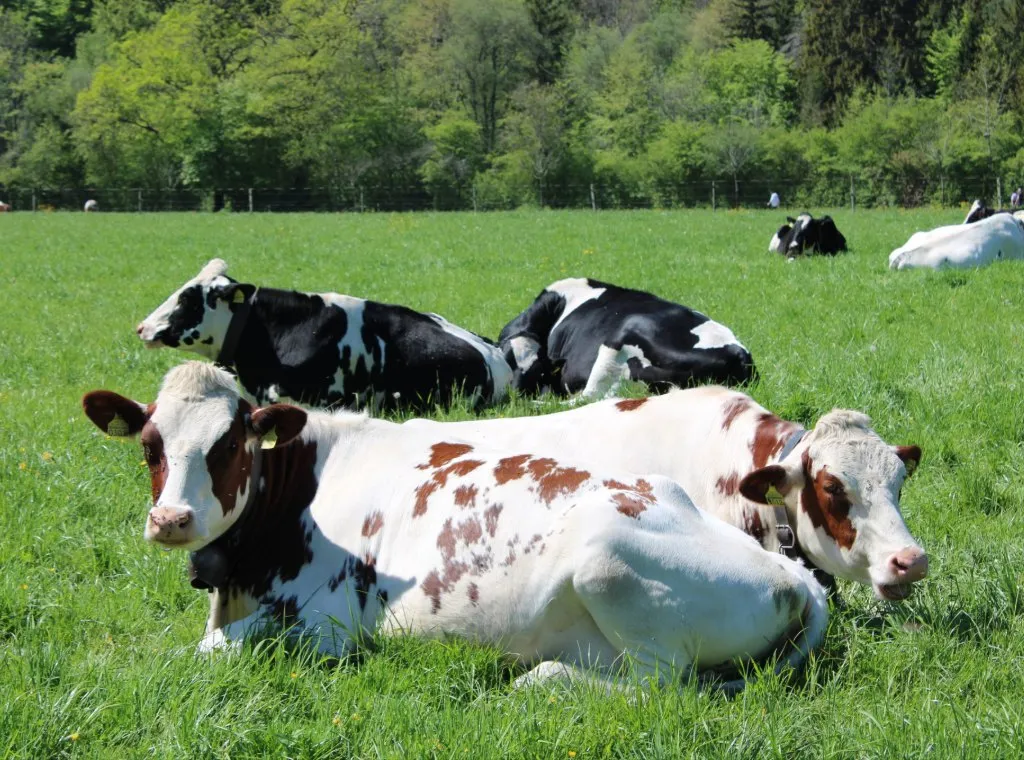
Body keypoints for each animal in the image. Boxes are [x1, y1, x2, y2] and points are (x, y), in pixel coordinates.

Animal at [82, 361, 828, 691]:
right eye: (150, 445)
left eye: (230, 443)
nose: (171, 518)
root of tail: (796, 578)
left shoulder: (328, 628)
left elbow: (212, 650)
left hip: (609, 567)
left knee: (660, 688)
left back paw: (537, 678)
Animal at [498, 278, 754, 400]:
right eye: (507, 362)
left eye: (538, 370)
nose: (513, 396)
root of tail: (740, 356)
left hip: (617, 342)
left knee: (586, 398)